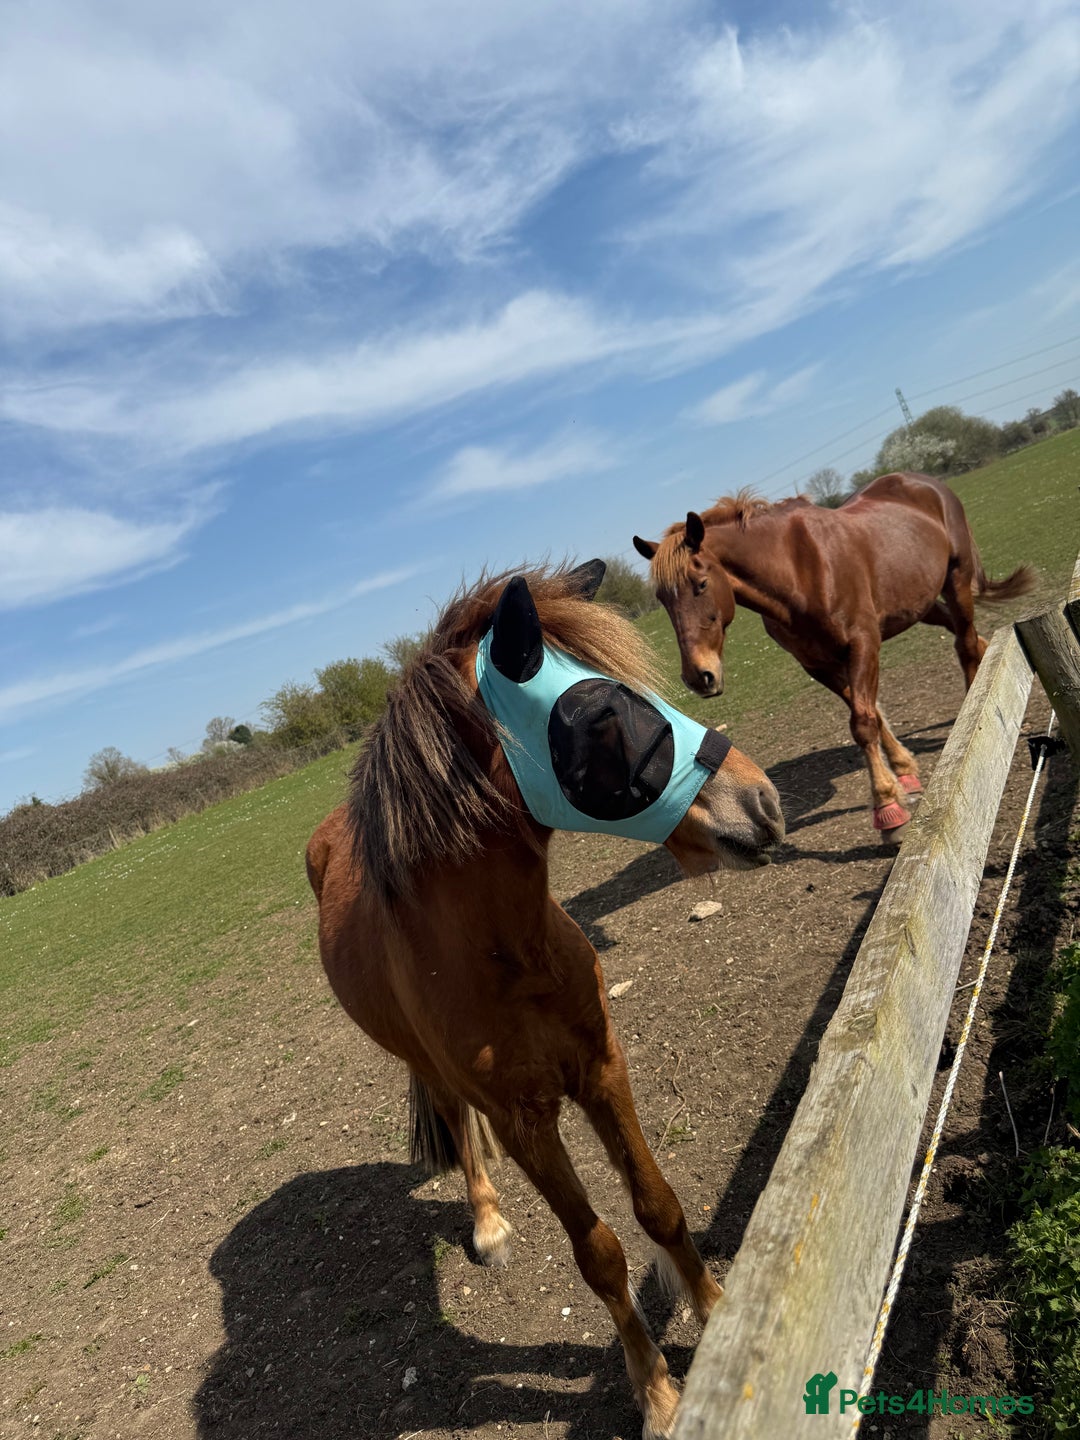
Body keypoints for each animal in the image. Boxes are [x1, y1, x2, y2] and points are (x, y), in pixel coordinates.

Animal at [306, 560, 784, 1439]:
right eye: (598, 717)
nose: (760, 803)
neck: (509, 954)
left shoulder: (602, 1068)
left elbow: (659, 1207)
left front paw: (715, 1309)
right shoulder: (527, 1122)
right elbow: (598, 1253)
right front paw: (659, 1393)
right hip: (433, 1070)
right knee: (456, 1122)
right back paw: (488, 1218)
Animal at [633, 472, 1034, 838]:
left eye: (700, 584)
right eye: (663, 600)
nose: (698, 676)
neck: (799, 570)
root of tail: (925, 483)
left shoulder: (864, 643)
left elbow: (863, 722)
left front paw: (887, 808)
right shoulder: (819, 664)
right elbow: (871, 715)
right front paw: (903, 772)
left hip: (956, 579)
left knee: (965, 644)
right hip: (919, 603)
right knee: (968, 638)